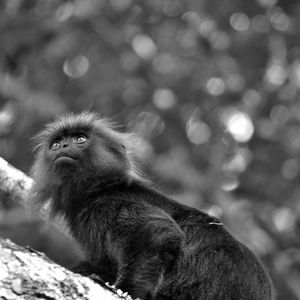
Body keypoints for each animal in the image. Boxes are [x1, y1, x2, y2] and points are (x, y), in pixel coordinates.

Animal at [29, 111, 274, 298]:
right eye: (56, 144)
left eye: (80, 139)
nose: (63, 146)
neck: (99, 188)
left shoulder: (103, 205)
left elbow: (156, 232)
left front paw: (128, 290)